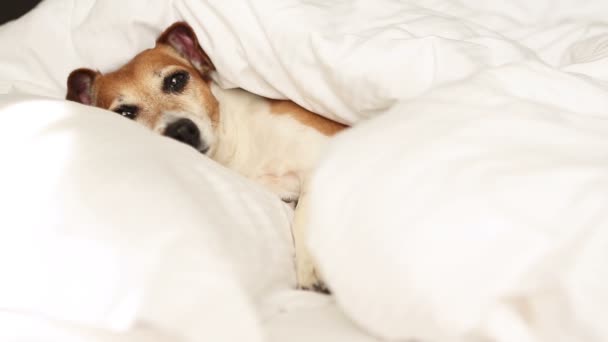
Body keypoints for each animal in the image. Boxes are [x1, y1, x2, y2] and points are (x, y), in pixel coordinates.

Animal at [65, 20, 346, 292]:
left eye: (177, 80)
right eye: (124, 114)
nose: (181, 130)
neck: (236, 147)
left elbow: (305, 213)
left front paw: (313, 265)